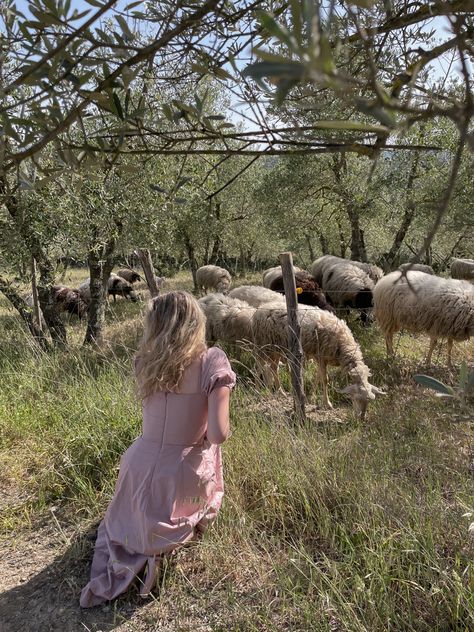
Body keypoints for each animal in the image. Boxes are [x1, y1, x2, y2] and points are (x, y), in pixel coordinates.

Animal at [252, 302, 386, 420]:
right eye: (356, 398)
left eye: (370, 400)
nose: (362, 418)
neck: (342, 345)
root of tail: (260, 309)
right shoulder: (321, 357)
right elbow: (325, 379)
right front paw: (327, 403)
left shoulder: (321, 359)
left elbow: (318, 377)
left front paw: (311, 396)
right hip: (263, 345)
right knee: (258, 367)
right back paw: (258, 392)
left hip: (277, 348)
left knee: (274, 367)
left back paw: (281, 392)